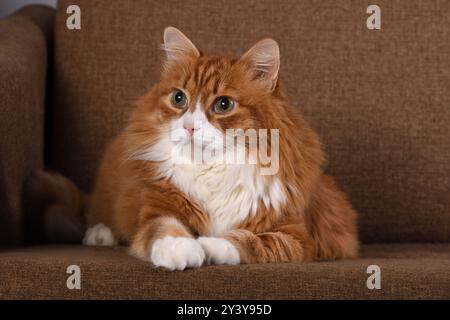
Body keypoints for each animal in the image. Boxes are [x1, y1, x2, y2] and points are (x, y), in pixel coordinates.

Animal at [29, 26, 356, 270]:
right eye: (179, 99)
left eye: (223, 105)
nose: (189, 126)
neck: (212, 169)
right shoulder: (158, 210)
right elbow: (166, 229)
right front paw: (181, 248)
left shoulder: (296, 237)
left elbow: (248, 240)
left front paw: (207, 245)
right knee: (98, 211)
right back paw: (100, 235)